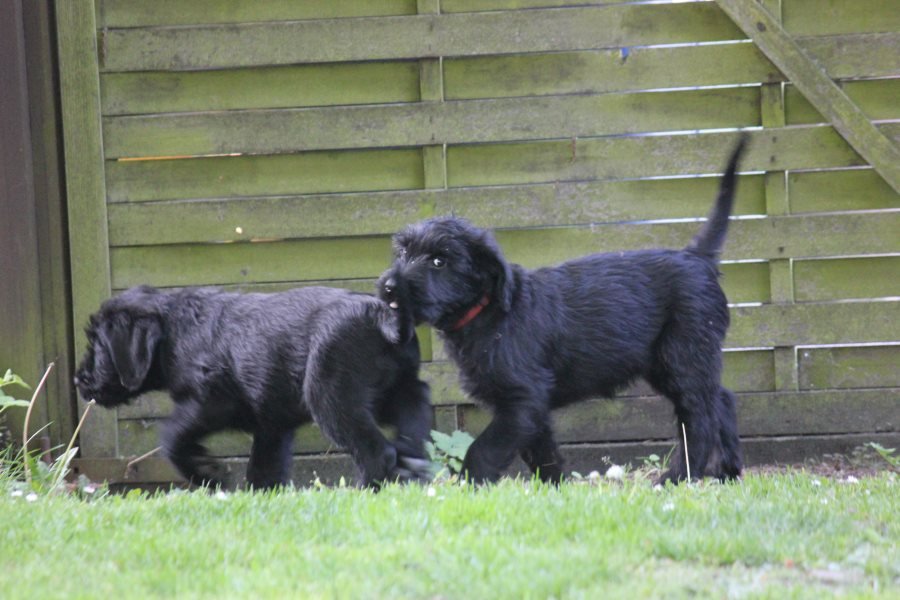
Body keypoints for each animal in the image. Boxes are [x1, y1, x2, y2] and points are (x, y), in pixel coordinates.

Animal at [74, 284, 432, 488]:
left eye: (99, 344)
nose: (79, 380)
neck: (176, 328)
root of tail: (385, 320)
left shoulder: (210, 402)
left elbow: (172, 435)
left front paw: (206, 472)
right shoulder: (272, 425)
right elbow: (263, 468)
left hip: (332, 397)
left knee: (377, 452)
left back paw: (365, 491)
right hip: (397, 390)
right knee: (414, 424)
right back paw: (413, 470)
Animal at [376, 138, 748, 486]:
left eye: (439, 261)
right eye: (403, 253)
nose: (388, 287)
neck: (487, 313)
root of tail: (697, 257)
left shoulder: (522, 400)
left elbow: (484, 449)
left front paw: (471, 487)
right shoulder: (531, 408)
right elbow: (543, 452)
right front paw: (555, 491)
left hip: (683, 357)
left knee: (699, 420)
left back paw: (675, 478)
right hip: (671, 364)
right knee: (722, 399)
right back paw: (727, 471)